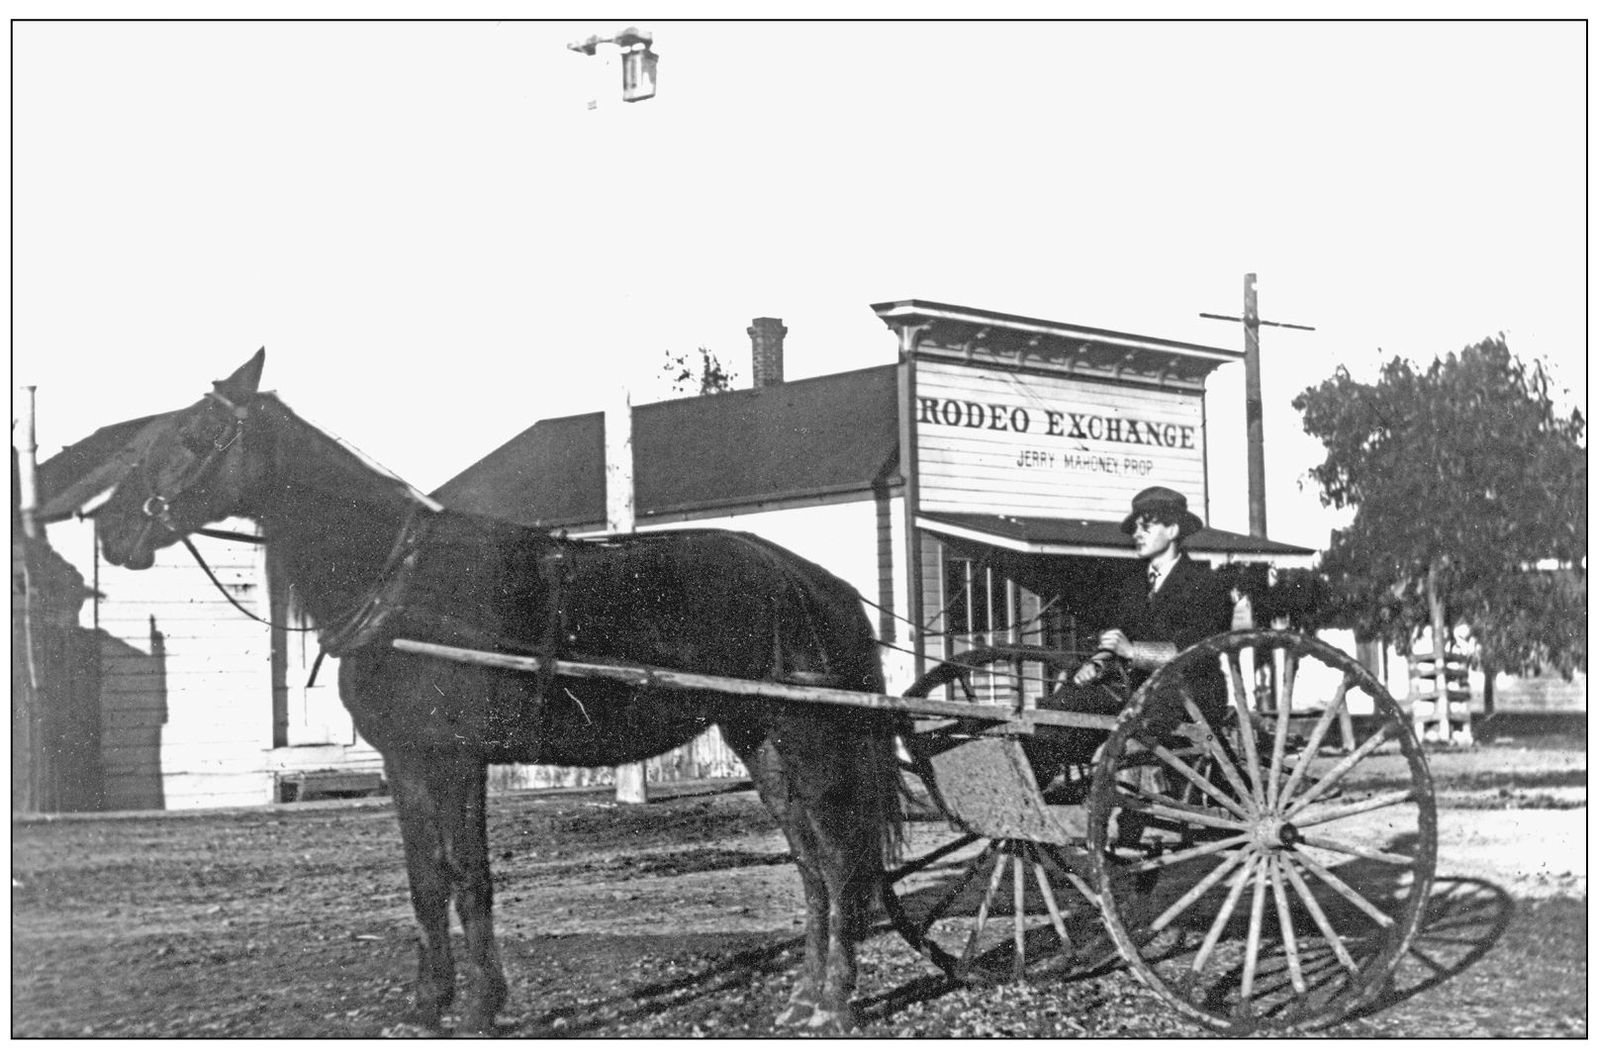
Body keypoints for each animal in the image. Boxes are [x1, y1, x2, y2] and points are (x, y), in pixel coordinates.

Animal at [93, 349, 907, 1034]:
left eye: (197, 433)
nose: (108, 529)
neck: (401, 584)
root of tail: (816, 583)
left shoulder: (457, 759)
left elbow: (468, 878)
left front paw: (482, 1006)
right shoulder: (407, 761)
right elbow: (426, 881)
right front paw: (429, 1007)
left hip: (808, 739)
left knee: (838, 861)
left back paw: (835, 1003)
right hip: (759, 738)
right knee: (809, 863)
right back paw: (803, 998)